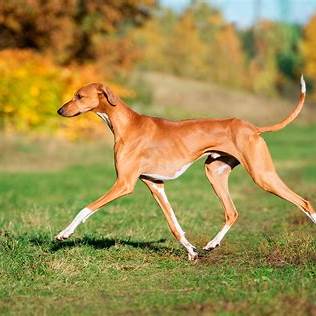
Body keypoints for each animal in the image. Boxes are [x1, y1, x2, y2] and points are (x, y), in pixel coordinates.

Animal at [55, 76, 314, 260]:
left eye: (79, 96)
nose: (59, 111)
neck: (127, 124)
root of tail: (253, 128)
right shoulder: (155, 185)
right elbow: (174, 225)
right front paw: (191, 251)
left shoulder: (124, 184)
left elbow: (86, 209)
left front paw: (64, 233)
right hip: (215, 173)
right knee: (232, 212)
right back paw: (212, 244)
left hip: (262, 175)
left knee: (304, 202)